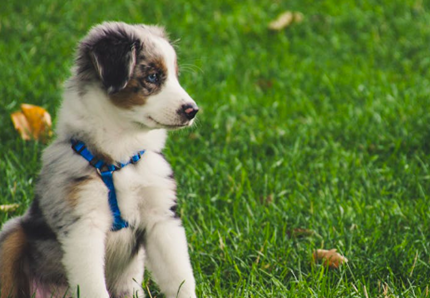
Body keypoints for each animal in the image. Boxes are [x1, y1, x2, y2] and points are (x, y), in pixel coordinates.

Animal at [0, 21, 198, 298]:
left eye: (175, 76)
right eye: (153, 77)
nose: (193, 110)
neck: (120, 157)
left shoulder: (161, 217)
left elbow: (179, 277)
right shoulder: (83, 225)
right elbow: (93, 285)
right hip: (12, 232)